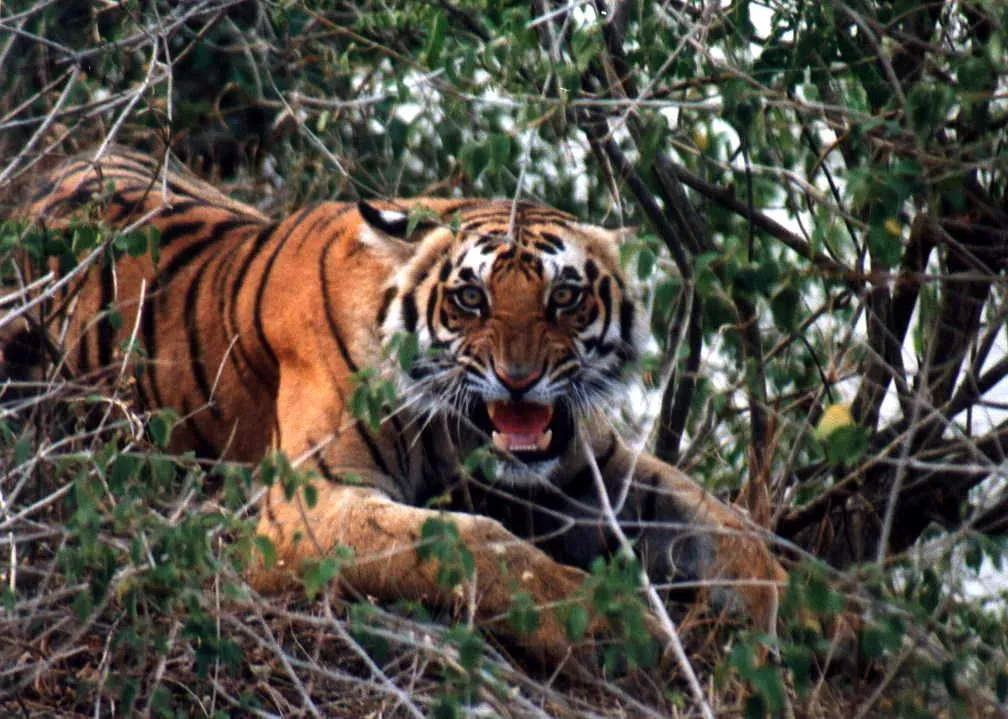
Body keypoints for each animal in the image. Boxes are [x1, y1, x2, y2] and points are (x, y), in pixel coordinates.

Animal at [4, 147, 786, 667]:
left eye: (565, 296)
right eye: (471, 297)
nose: (520, 379)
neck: (459, 430)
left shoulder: (591, 469)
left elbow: (727, 527)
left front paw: (792, 613)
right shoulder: (309, 505)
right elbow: (483, 547)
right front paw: (618, 626)